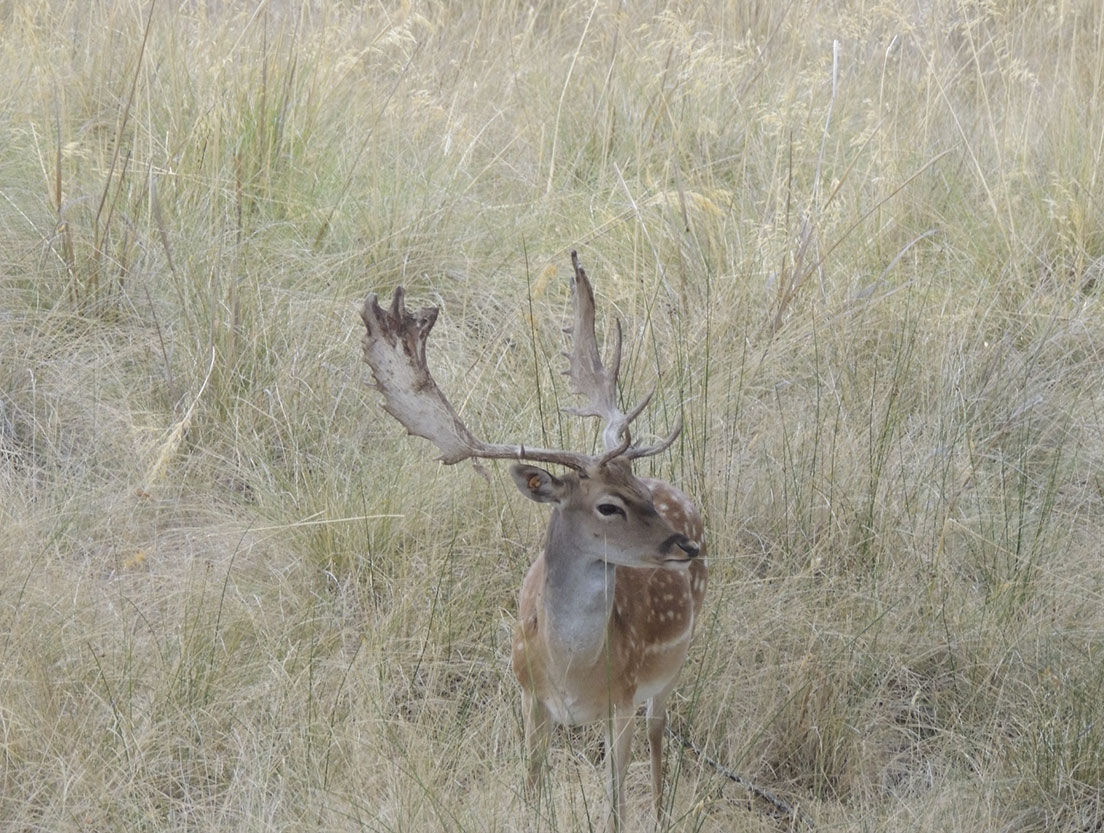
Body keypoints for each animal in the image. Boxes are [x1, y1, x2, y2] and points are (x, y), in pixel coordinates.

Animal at [359, 250, 706, 829]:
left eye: (638, 489)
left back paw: (661, 811)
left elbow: (613, 807)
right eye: (608, 505)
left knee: (660, 730)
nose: (685, 547)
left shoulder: (623, 698)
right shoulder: (528, 695)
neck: (573, 671)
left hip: (671, 669)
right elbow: (532, 787)